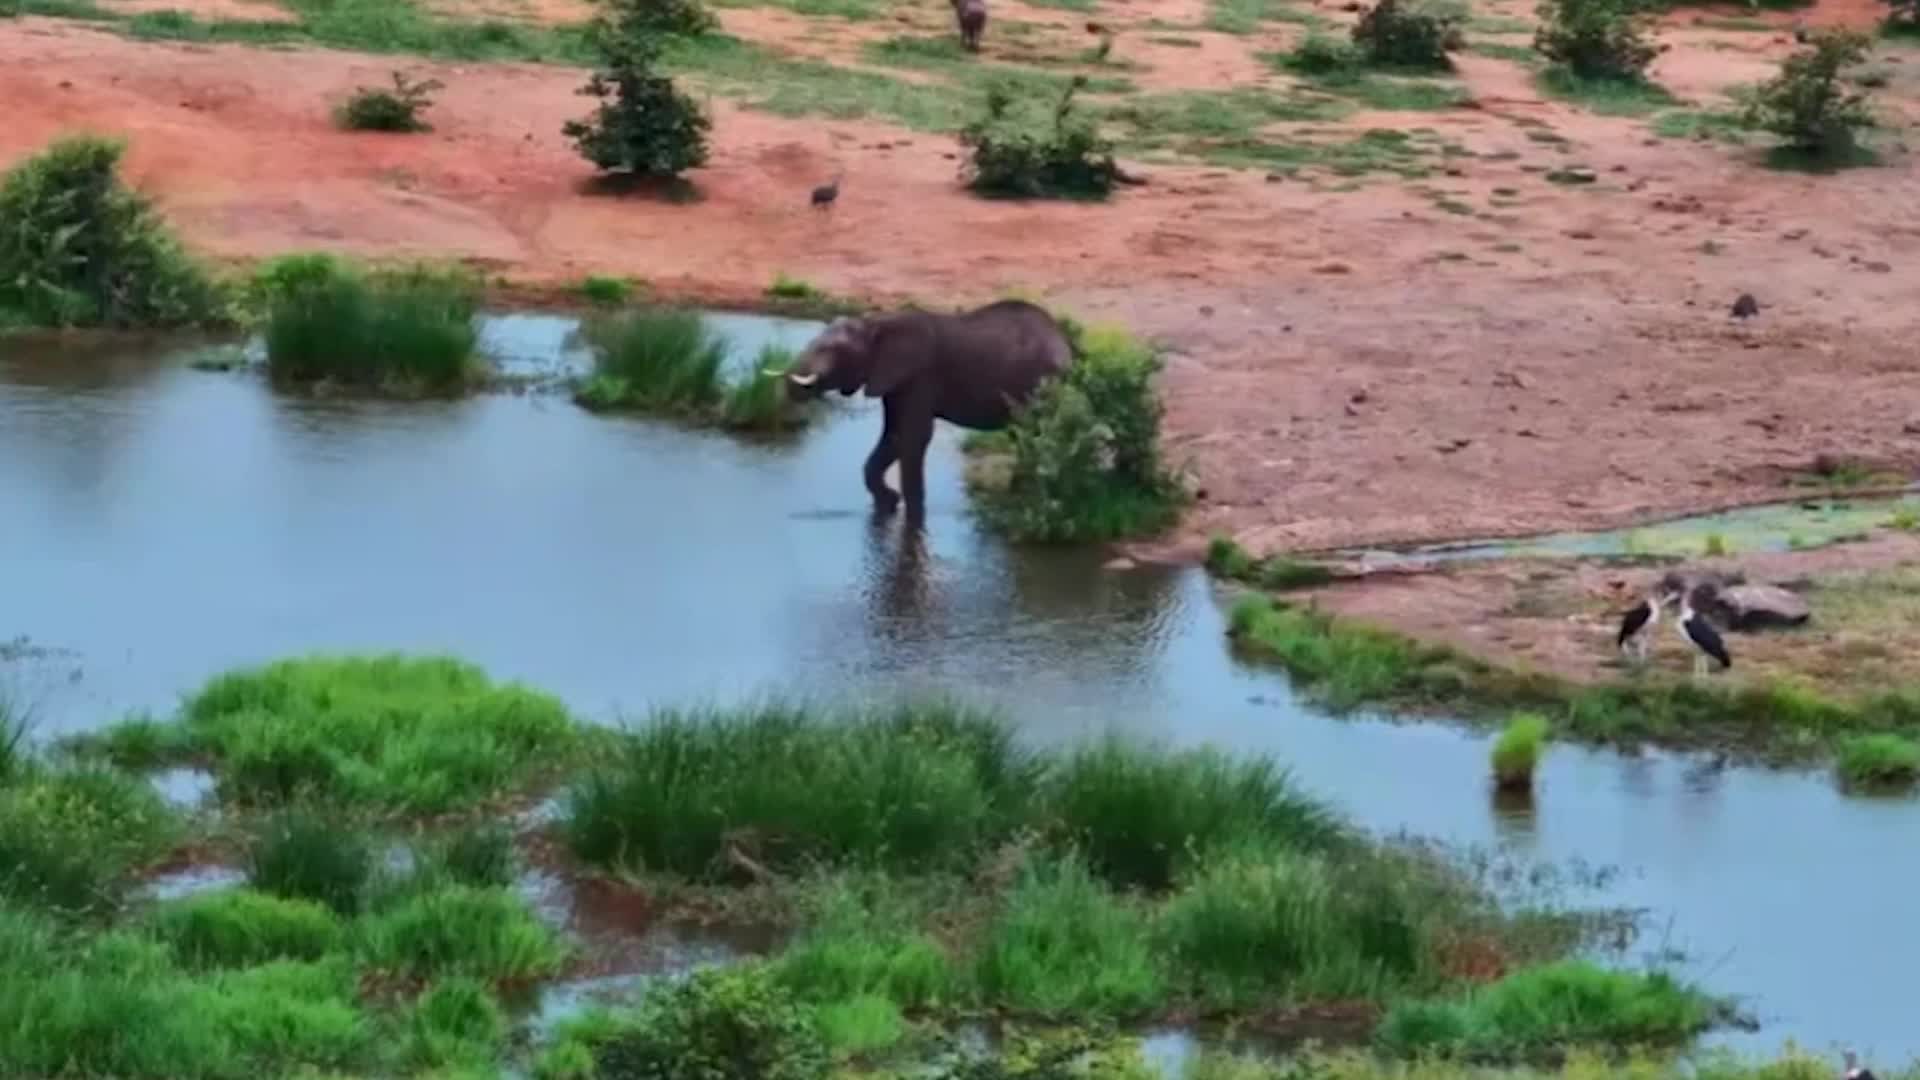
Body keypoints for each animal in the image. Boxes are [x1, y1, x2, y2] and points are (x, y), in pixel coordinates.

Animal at [779, 299, 1082, 522]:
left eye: (833, 350)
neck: (877, 324)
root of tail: (1065, 343)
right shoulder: (894, 379)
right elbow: (894, 436)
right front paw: (889, 503)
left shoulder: (919, 375)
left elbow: (914, 436)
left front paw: (912, 515)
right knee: (1025, 437)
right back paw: (1016, 494)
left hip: (1042, 382)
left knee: (1033, 434)